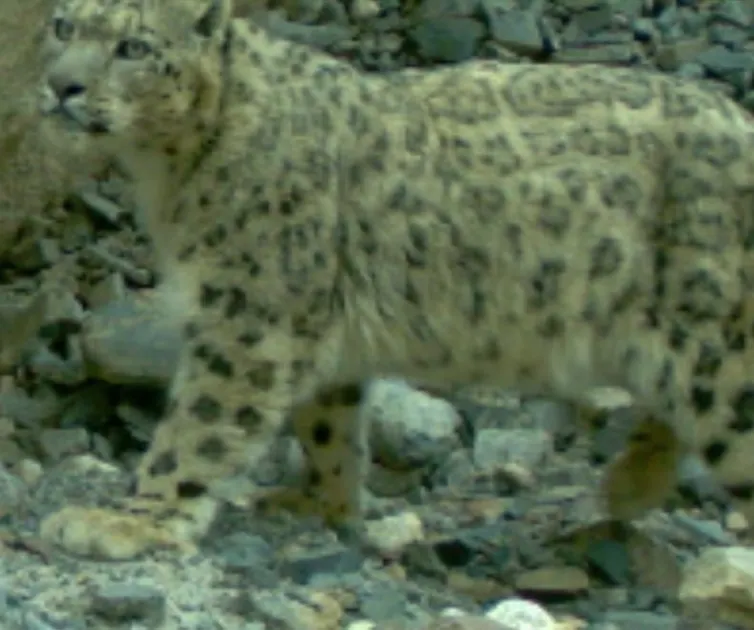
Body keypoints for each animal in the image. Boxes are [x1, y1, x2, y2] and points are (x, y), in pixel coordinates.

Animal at [34, 0, 754, 560]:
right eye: (64, 26)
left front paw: (129, 519)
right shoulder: (307, 323)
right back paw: (630, 486)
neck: (168, 174)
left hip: (722, 351)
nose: (61, 87)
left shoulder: (251, 317)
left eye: (133, 46)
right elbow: (329, 422)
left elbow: (200, 425)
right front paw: (320, 502)